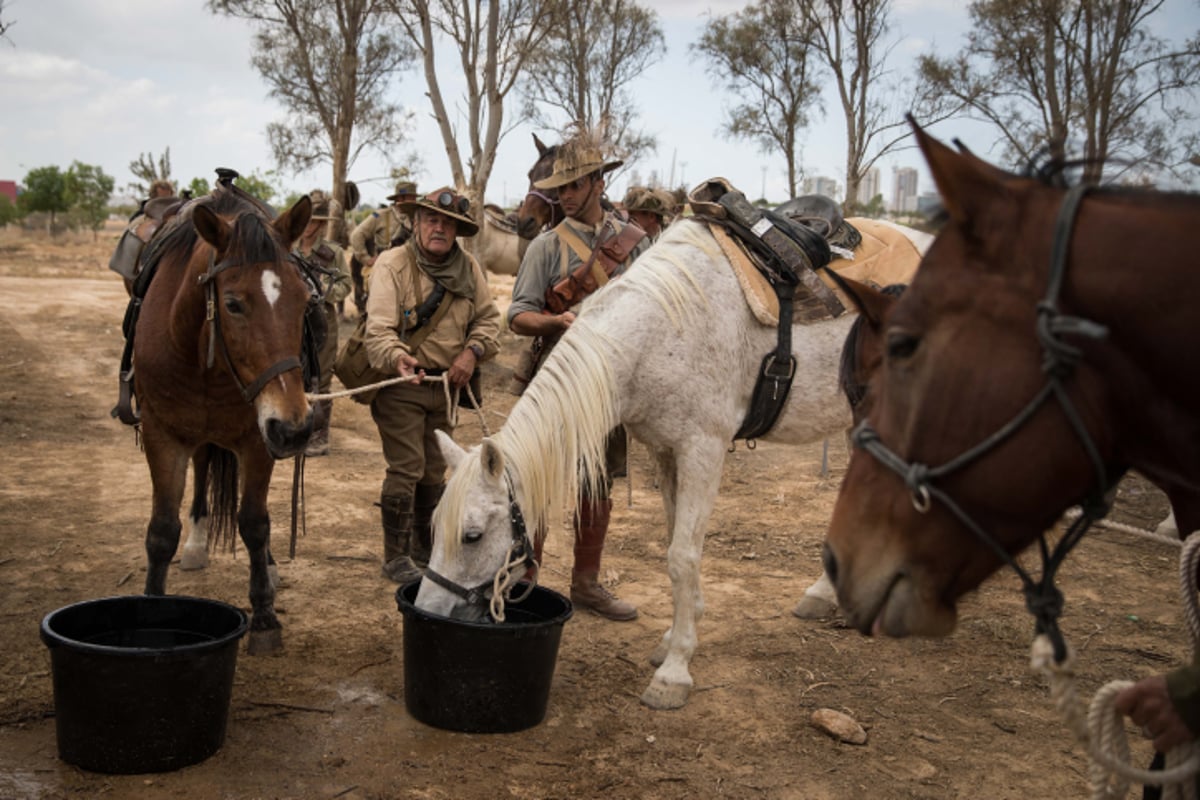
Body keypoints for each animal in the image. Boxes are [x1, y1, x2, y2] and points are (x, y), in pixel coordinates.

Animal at [133, 181, 316, 657]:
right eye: (232, 304)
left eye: (305, 300)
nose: (296, 429)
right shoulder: (162, 434)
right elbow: (162, 531)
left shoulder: (259, 438)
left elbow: (254, 523)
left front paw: (265, 618)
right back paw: (197, 543)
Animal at [417, 208, 931, 714]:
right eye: (434, 527)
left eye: (472, 536)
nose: (426, 611)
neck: (660, 329)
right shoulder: (665, 451)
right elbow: (673, 544)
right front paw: (674, 638)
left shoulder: (702, 448)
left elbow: (683, 557)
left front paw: (675, 670)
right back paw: (826, 595)